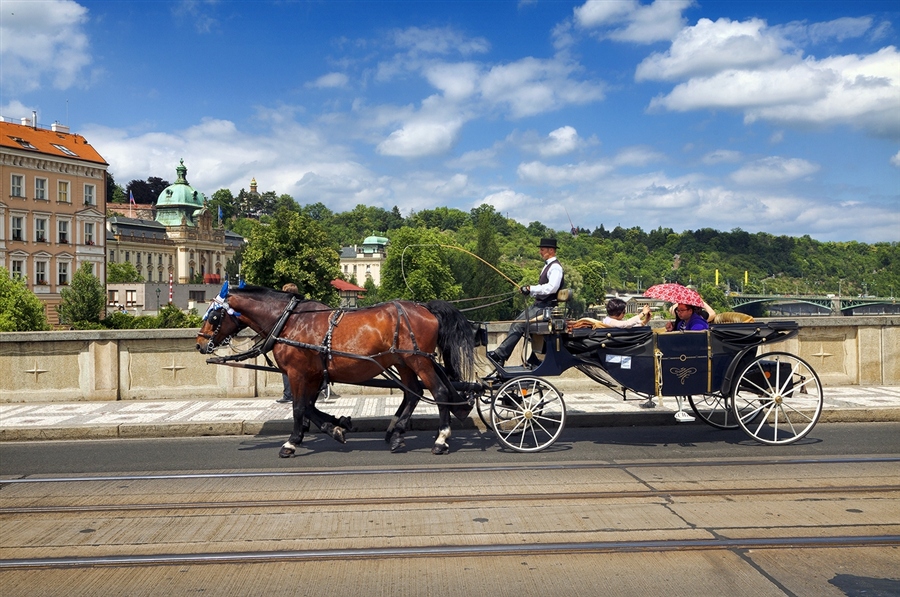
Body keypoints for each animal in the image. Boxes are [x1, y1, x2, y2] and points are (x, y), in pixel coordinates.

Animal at [197, 282, 478, 456]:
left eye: (213, 316)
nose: (200, 343)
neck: (288, 321)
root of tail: (424, 307)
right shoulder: (311, 374)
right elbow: (309, 407)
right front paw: (336, 425)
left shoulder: (297, 373)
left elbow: (299, 407)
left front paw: (291, 442)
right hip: (403, 362)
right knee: (412, 394)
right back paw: (396, 434)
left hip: (419, 360)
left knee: (439, 392)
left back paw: (441, 440)